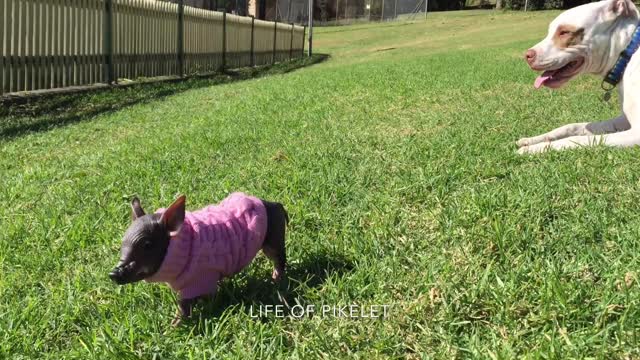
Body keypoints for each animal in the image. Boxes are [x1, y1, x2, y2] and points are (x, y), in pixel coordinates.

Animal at [520, 0, 640, 153]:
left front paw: (535, 148)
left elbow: (578, 139)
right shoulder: (624, 120)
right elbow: (574, 126)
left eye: (565, 32)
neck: (628, 53)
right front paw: (532, 140)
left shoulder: (636, 133)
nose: (527, 55)